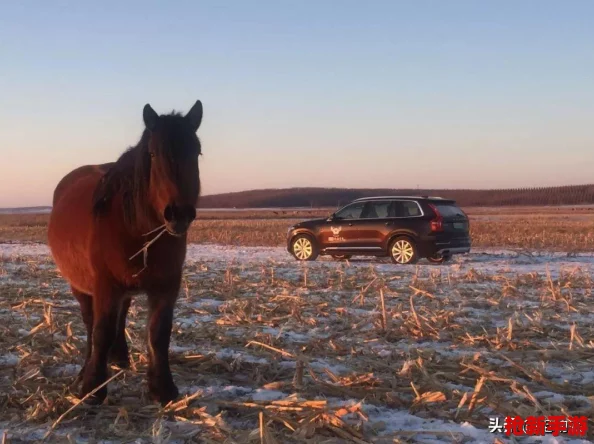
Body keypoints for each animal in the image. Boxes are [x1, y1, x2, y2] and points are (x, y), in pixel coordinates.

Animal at [47, 100, 204, 406]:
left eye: (197, 152)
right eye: (153, 154)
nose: (178, 214)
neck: (136, 229)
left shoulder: (167, 286)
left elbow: (159, 333)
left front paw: (162, 388)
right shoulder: (105, 285)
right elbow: (101, 331)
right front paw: (92, 388)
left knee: (121, 315)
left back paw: (119, 357)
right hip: (81, 286)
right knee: (90, 322)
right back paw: (90, 365)